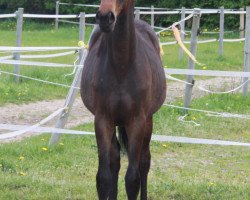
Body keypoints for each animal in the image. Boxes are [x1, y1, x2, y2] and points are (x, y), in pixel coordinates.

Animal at [80, 0, 166, 199]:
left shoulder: (136, 121)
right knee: (115, 161)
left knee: (144, 162)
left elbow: (132, 179)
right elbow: (103, 177)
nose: (105, 17)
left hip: (148, 121)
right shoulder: (103, 120)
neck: (122, 66)